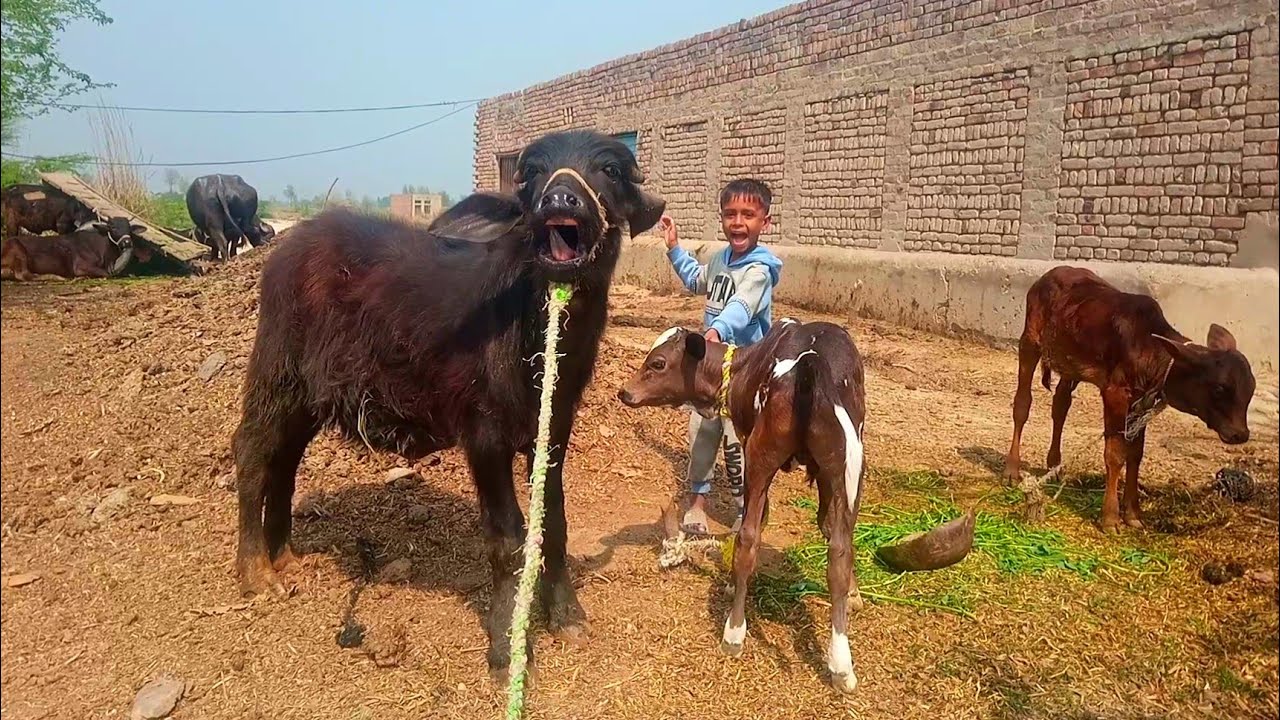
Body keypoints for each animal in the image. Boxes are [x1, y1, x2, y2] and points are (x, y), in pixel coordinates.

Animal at [1, 217, 141, 280]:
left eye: (129, 228)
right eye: (113, 227)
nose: (127, 242)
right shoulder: (81, 267)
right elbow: (107, 274)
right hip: (17, 248)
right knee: (24, 274)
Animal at [231, 129, 664, 681]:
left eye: (609, 170)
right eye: (533, 173)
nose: (560, 199)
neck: (530, 328)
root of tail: (293, 242)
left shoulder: (555, 429)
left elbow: (555, 524)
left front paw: (567, 616)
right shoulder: (484, 435)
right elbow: (506, 538)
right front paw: (506, 646)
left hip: (311, 396)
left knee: (284, 460)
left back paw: (283, 553)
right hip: (275, 370)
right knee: (252, 451)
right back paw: (255, 571)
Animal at [618, 319, 869, 695]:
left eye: (658, 363)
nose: (625, 392)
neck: (741, 366)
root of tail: (811, 363)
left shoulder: (745, 440)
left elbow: (756, 522)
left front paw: (733, 585)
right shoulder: (830, 476)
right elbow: (828, 528)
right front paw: (853, 593)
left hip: (761, 457)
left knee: (749, 536)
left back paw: (734, 632)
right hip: (847, 467)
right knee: (841, 547)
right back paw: (841, 663)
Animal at [1003, 266, 1256, 532]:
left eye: (1251, 388)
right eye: (1219, 388)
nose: (1240, 434)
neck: (1149, 348)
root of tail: (1048, 276)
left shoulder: (1142, 401)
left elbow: (1135, 454)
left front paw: (1133, 513)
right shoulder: (1115, 393)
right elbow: (1115, 454)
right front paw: (1111, 518)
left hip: (1070, 365)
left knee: (1060, 405)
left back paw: (1054, 465)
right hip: (1029, 342)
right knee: (1022, 404)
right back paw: (1012, 469)